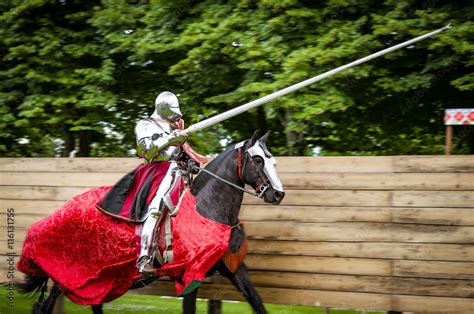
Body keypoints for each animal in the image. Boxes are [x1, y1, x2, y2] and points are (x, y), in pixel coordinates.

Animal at [15, 131, 286, 314]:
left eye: (273, 160)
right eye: (258, 160)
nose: (278, 194)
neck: (207, 209)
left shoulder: (234, 269)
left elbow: (257, 301)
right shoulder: (190, 275)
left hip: (99, 278)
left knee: (93, 305)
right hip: (71, 275)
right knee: (45, 306)